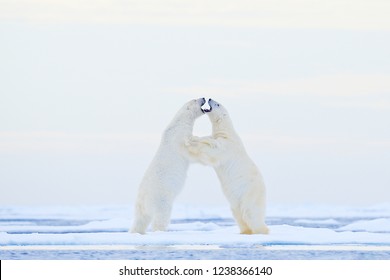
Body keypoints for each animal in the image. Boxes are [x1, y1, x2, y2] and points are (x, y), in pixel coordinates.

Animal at [131, 98, 207, 234]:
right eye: (195, 99)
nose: (203, 97)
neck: (178, 123)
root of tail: (143, 200)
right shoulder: (179, 137)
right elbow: (189, 149)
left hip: (140, 206)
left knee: (140, 220)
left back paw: (135, 231)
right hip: (161, 198)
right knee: (161, 216)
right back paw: (161, 230)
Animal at [188, 98, 268, 234]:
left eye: (217, 104)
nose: (209, 98)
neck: (227, 132)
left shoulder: (227, 146)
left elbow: (214, 152)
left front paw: (193, 144)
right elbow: (208, 140)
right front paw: (194, 138)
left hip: (250, 192)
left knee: (250, 213)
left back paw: (261, 231)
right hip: (236, 200)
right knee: (238, 214)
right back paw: (244, 232)